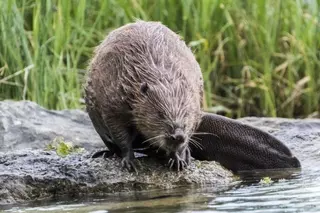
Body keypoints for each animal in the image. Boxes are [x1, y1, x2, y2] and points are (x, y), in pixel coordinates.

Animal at [85, 20, 202, 172]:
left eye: (187, 114)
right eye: (160, 113)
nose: (177, 136)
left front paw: (178, 160)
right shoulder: (114, 101)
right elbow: (119, 132)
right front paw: (130, 162)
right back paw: (104, 153)